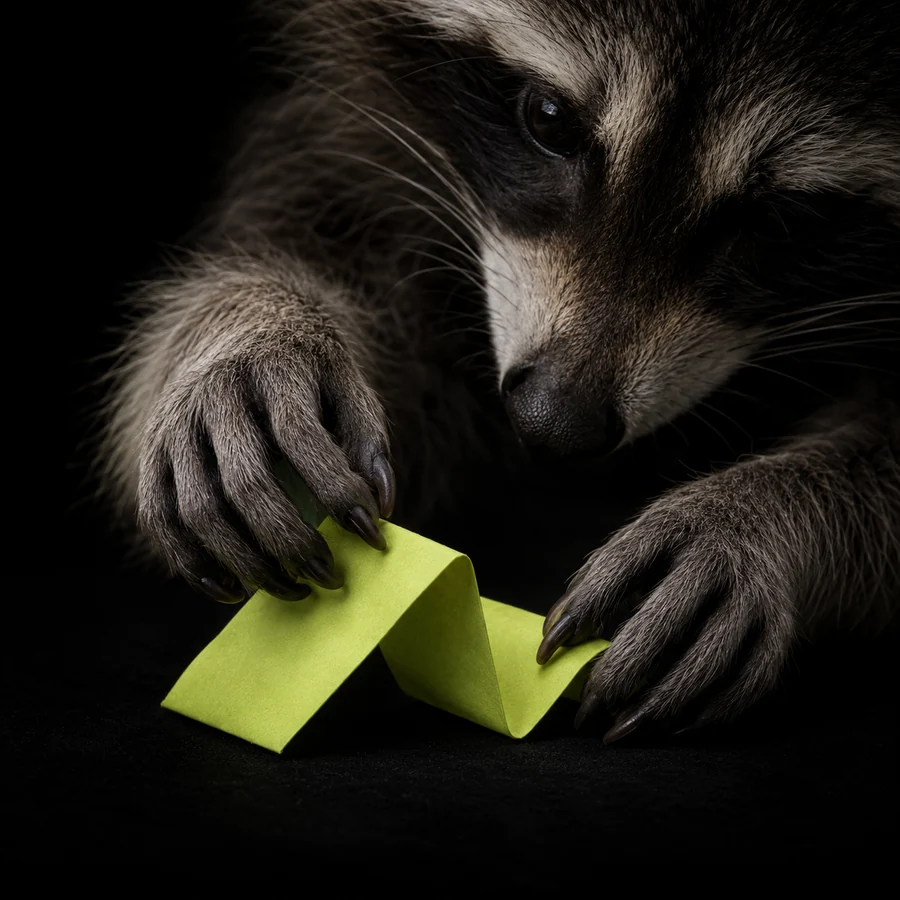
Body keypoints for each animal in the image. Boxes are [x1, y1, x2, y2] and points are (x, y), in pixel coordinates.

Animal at [102, 0, 900, 742]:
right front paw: (251, 330)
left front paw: (759, 519)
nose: (554, 423)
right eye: (549, 118)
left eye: (783, 220)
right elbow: (321, 228)